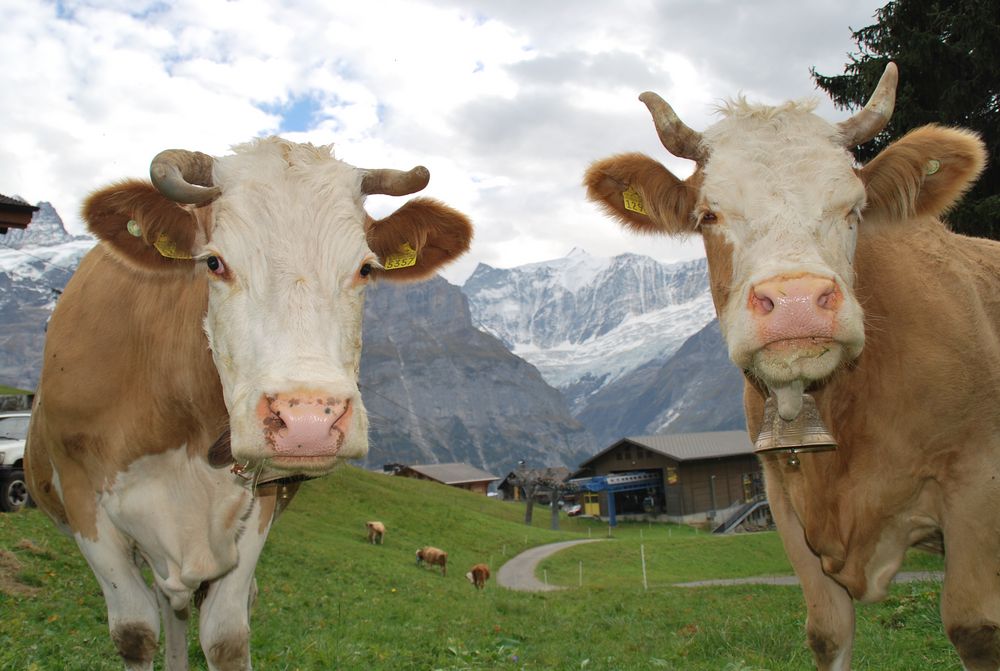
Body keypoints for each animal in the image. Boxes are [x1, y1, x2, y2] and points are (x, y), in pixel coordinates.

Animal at [23, 138, 474, 671]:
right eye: (214, 262)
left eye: (366, 268)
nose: (307, 420)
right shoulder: (80, 495)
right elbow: (135, 632)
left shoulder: (260, 501)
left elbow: (226, 636)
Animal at [584, 60, 1000, 668]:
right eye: (708, 214)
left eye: (853, 209)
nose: (798, 300)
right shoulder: (781, 494)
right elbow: (828, 631)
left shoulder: (974, 479)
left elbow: (973, 627)